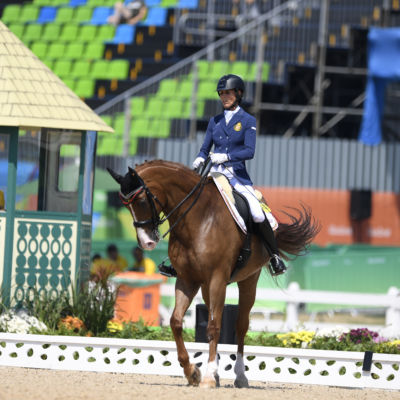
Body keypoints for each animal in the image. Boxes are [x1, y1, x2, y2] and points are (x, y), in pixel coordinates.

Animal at [108, 159, 320, 388]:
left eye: (140, 201)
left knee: (241, 326)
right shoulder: (187, 280)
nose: (147, 242)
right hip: (206, 286)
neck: (198, 220)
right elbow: (176, 321)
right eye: (125, 204)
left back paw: (240, 376)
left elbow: (213, 326)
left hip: (247, 281)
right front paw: (192, 372)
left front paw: (208, 376)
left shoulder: (217, 278)